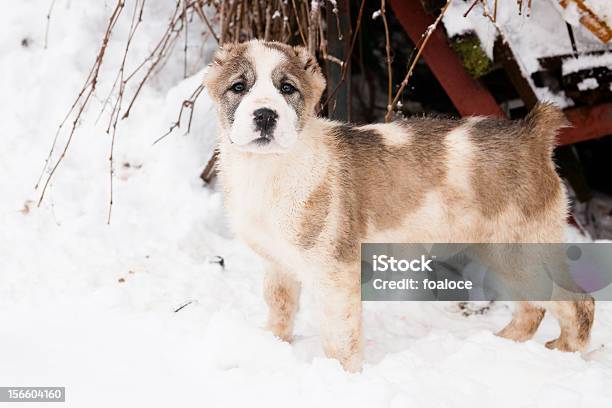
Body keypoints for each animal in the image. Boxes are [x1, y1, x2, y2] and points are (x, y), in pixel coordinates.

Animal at [203, 39, 596, 372]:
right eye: (238, 87)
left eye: (287, 89)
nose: (265, 115)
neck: (269, 168)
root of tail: (531, 134)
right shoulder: (277, 264)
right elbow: (279, 308)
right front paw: (272, 346)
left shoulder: (335, 272)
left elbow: (339, 339)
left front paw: (341, 378)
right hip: (501, 252)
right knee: (532, 309)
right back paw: (502, 345)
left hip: (518, 251)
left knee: (577, 304)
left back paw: (564, 356)